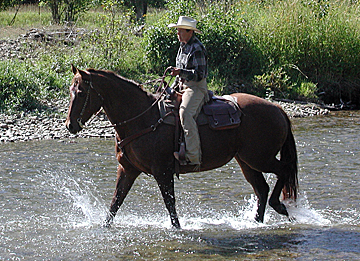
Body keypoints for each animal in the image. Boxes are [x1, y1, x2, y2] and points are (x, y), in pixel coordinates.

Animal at [65, 65, 298, 228]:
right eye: (70, 90)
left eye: (82, 92)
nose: (70, 125)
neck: (143, 118)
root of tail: (278, 109)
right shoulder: (128, 169)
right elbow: (115, 203)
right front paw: (104, 227)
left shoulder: (163, 171)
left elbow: (170, 205)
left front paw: (178, 229)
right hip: (247, 161)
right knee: (261, 189)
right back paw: (256, 222)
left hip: (260, 158)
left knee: (283, 171)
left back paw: (278, 206)